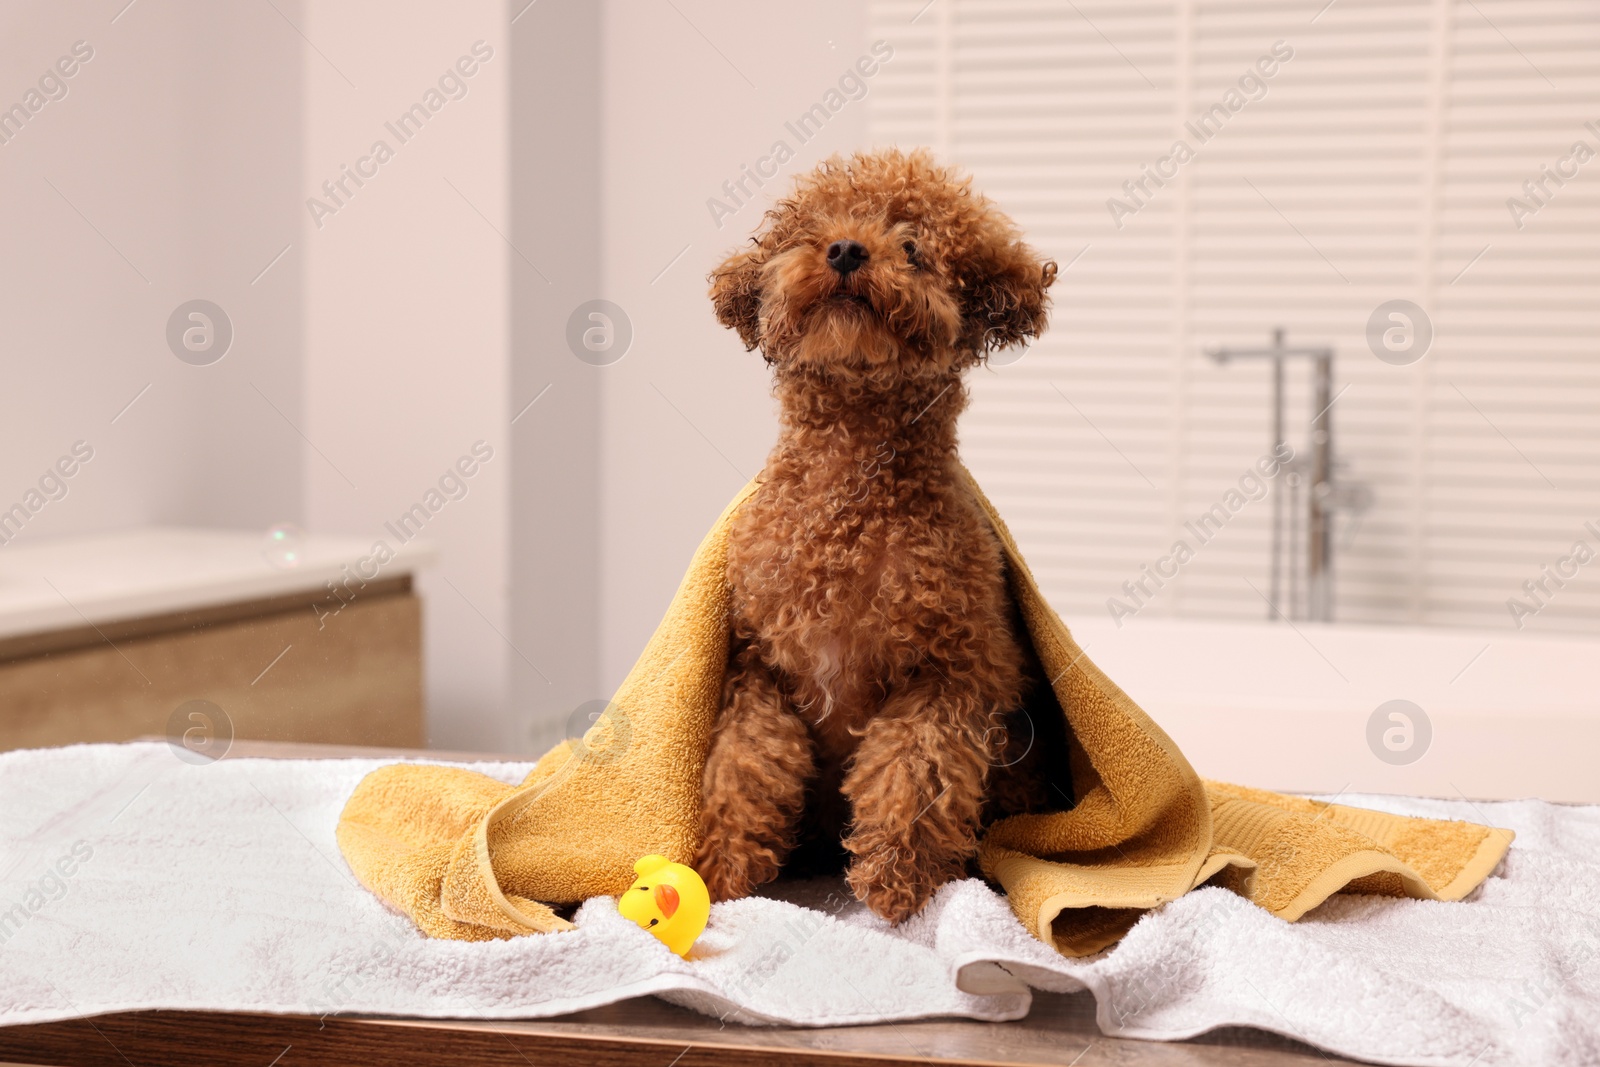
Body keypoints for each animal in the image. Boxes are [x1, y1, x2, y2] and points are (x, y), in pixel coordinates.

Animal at [697, 146, 1062, 921]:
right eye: (813, 228)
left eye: (915, 247)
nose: (844, 249)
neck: (849, 505)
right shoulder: (756, 666)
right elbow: (745, 764)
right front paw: (724, 868)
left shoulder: (951, 672)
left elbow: (912, 772)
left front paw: (897, 881)